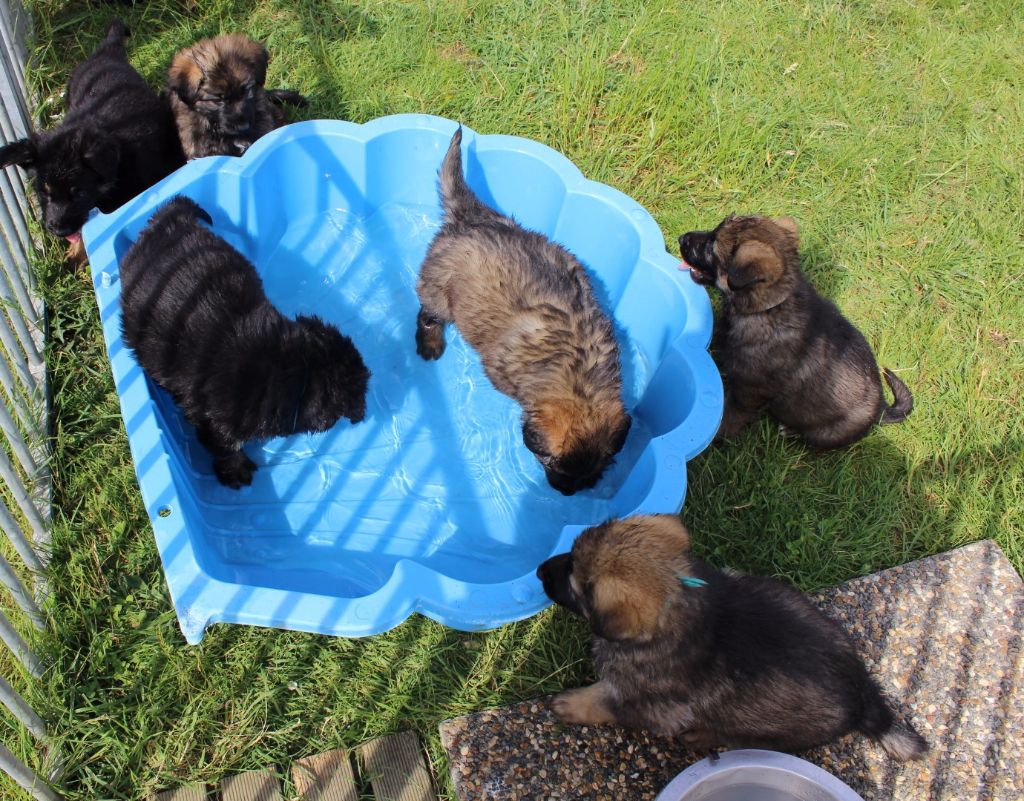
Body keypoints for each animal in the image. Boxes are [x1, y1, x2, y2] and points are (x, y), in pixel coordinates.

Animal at [411, 128, 626, 495]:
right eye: (551, 464)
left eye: (594, 472)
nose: (566, 492)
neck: (579, 374)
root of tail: (468, 217)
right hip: (439, 289)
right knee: (427, 315)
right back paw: (430, 344)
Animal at [540, 518, 933, 762]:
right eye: (570, 553)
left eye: (575, 585)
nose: (541, 570)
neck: (679, 600)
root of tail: (863, 699)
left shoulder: (648, 703)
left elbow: (604, 701)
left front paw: (571, 704)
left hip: (771, 729)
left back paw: (702, 736)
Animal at [679, 216, 913, 448]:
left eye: (711, 246)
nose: (682, 237)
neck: (768, 308)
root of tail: (881, 410)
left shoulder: (749, 393)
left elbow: (730, 416)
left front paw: (715, 437)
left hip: (828, 433)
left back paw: (791, 431)